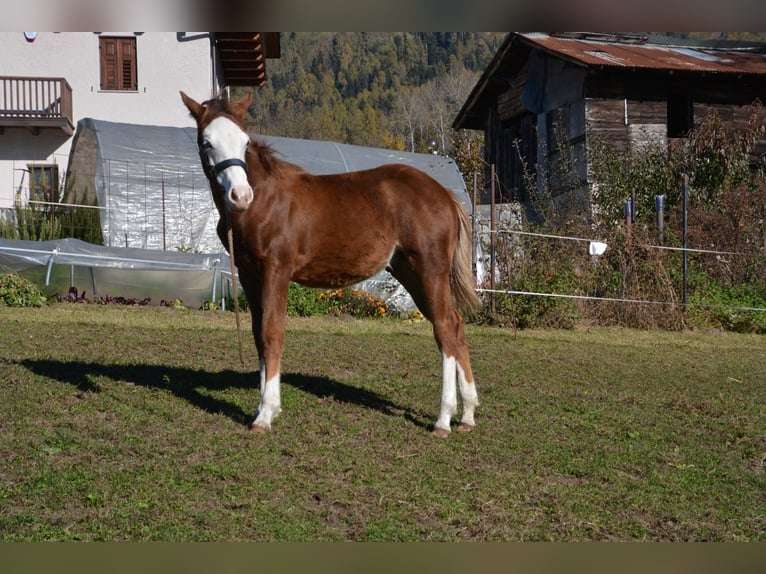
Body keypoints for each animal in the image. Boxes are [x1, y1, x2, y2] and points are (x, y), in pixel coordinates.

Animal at [180, 92, 480, 438]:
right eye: (206, 142)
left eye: (244, 142)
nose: (240, 196)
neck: (263, 200)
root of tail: (445, 195)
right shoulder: (249, 273)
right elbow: (258, 335)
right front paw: (261, 407)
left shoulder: (276, 270)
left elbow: (272, 333)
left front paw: (266, 414)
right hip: (410, 272)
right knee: (455, 325)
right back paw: (467, 415)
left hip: (429, 270)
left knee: (444, 328)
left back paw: (443, 419)